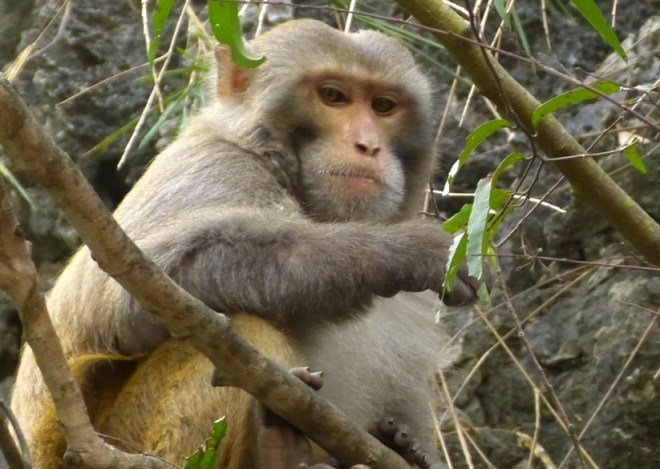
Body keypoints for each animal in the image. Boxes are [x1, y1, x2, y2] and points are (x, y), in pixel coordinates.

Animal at [10, 19, 480, 468]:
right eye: (333, 96)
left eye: (383, 106)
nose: (368, 146)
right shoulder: (214, 168)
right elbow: (120, 295)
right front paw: (405, 253)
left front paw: (409, 449)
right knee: (243, 328)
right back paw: (279, 451)